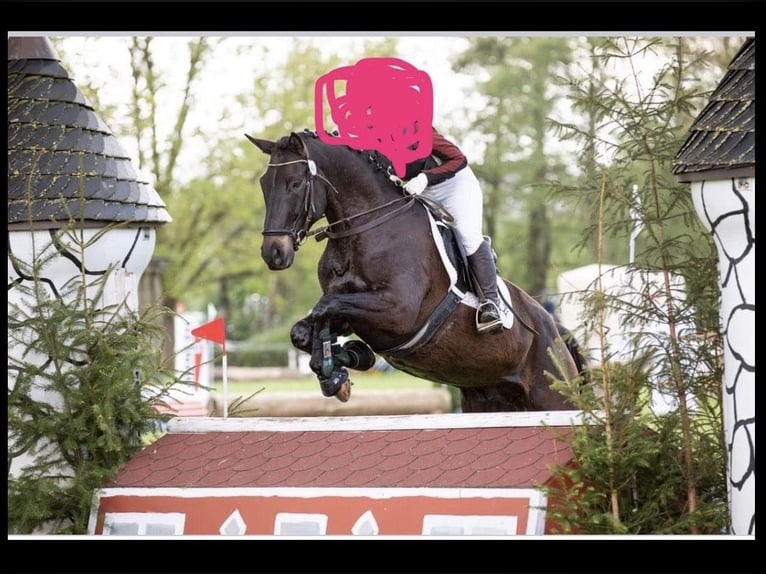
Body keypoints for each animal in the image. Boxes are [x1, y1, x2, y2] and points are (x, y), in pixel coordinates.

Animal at [246, 129, 585, 412]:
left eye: (295, 183)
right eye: (264, 185)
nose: (273, 253)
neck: (366, 227)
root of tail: (556, 330)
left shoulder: (398, 312)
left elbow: (324, 308)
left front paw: (338, 370)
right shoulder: (354, 310)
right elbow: (306, 328)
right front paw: (346, 362)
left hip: (552, 396)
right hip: (487, 399)